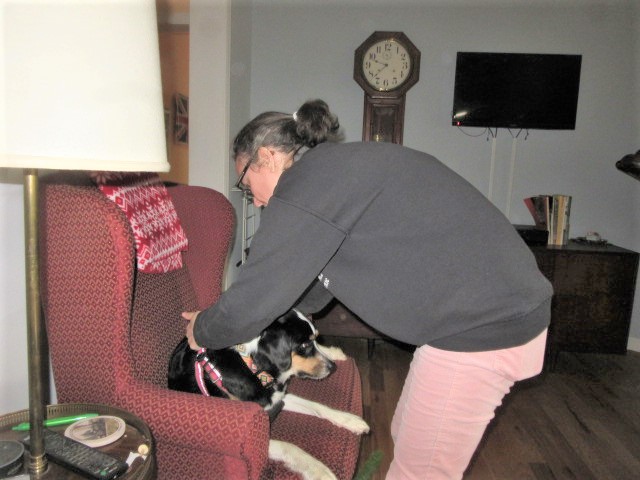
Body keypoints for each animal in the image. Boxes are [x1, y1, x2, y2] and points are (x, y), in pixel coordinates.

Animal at [168, 309, 370, 480]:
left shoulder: (276, 395)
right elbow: (291, 447)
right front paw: (320, 471)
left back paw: (335, 353)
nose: (332, 368)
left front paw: (350, 420)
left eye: (313, 340)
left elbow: (317, 406)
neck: (252, 365)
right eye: (304, 345)